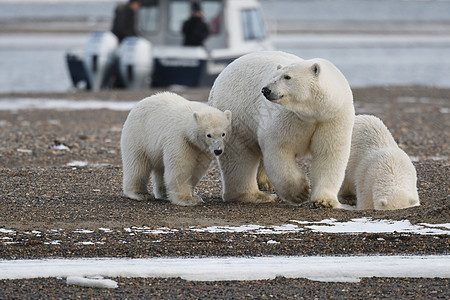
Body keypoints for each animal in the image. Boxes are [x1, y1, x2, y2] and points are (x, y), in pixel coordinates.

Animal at [208, 51, 356, 206]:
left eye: (287, 77)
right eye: (274, 76)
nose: (265, 90)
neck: (312, 114)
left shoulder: (331, 118)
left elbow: (329, 153)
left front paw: (324, 200)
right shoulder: (288, 117)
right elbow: (279, 148)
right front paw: (301, 192)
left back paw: (265, 184)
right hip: (237, 112)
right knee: (239, 155)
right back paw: (257, 196)